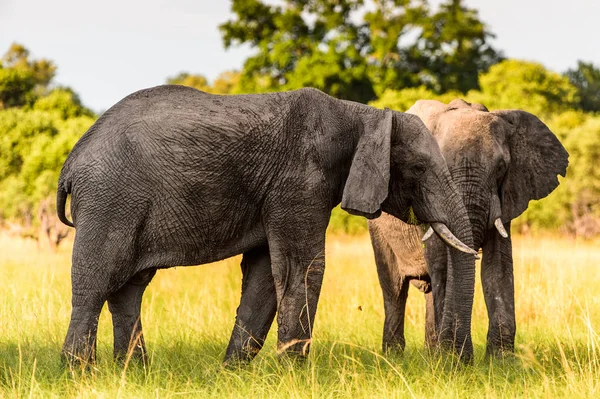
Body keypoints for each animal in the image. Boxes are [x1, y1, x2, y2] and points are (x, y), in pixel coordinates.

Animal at [57, 86, 478, 368]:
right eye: (418, 168)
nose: (457, 364)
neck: (361, 114)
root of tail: (72, 159)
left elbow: (263, 275)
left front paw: (233, 371)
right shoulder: (300, 181)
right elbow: (302, 266)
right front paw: (295, 373)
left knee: (129, 286)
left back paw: (133, 372)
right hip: (110, 199)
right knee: (97, 281)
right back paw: (79, 372)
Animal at [368, 99, 568, 360]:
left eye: (501, 167)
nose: (464, 358)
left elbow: (498, 266)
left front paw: (500, 361)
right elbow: (443, 264)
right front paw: (452, 358)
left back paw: (430, 352)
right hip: (378, 227)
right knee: (394, 288)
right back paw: (394, 356)